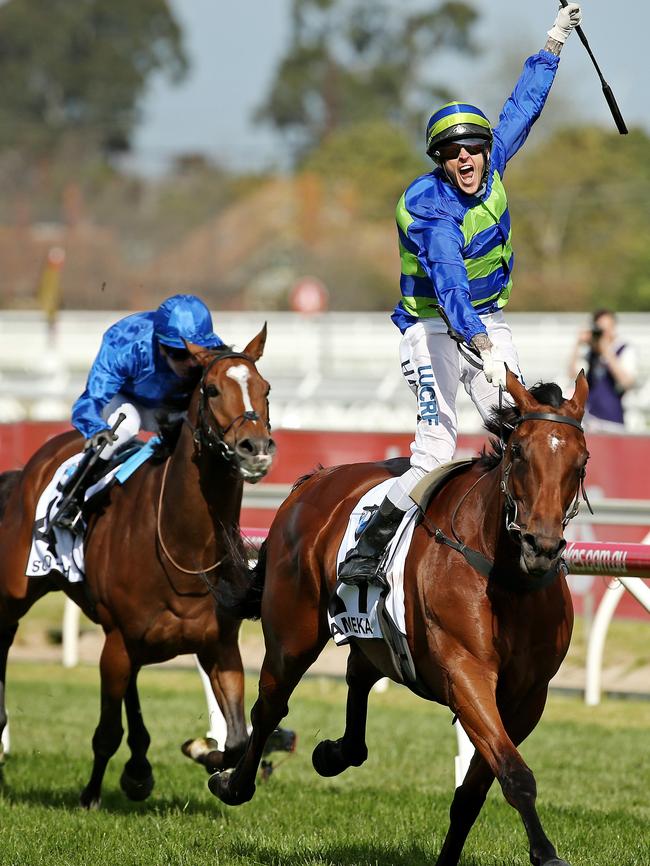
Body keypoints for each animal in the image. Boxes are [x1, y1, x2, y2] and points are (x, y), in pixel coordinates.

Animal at [0, 328, 274, 808]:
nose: (254, 449)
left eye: (266, 389)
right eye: (211, 389)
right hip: (18, 593)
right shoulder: (118, 643)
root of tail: (27, 468)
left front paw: (204, 754)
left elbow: (238, 740)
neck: (185, 548)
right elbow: (106, 732)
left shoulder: (219, 646)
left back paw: (140, 769)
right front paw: (90, 795)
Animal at [208, 372, 588, 864]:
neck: (506, 576)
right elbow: (515, 774)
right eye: (519, 451)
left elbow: (477, 788)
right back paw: (233, 784)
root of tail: (313, 481)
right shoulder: (465, 675)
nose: (541, 545)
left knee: (358, 674)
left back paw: (334, 753)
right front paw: (546, 852)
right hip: (292, 634)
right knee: (271, 704)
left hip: (371, 632)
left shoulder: (528, 698)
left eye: (581, 461)